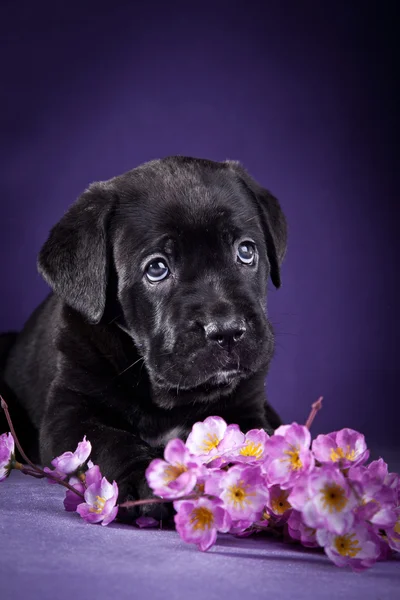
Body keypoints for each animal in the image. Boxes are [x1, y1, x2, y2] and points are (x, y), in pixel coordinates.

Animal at [0, 156, 288, 516]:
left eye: (246, 251)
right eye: (157, 268)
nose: (226, 331)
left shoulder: (247, 409)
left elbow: (251, 447)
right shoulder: (68, 413)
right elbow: (109, 440)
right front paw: (144, 479)